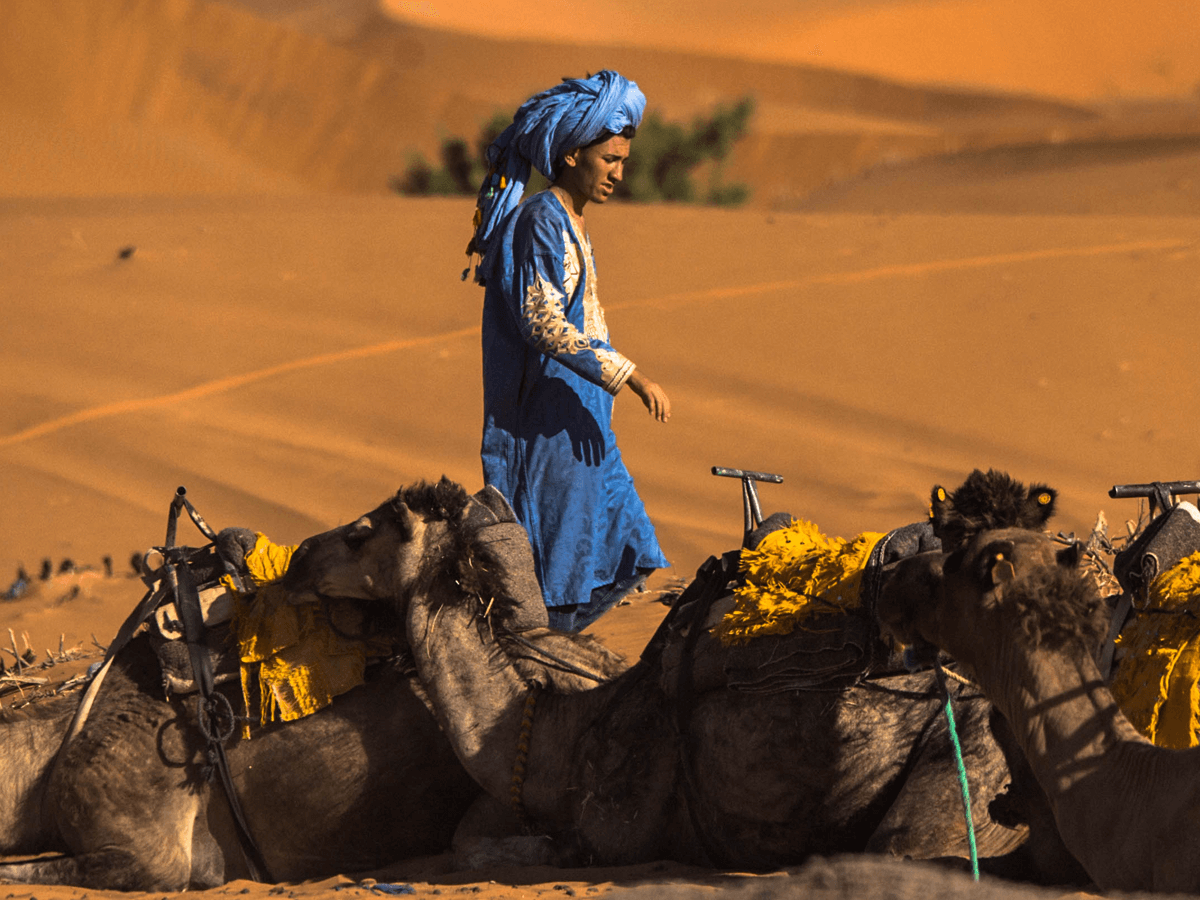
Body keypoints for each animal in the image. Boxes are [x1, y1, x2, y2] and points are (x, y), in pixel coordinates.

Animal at [278, 477, 1086, 879]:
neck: (558, 737)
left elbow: (481, 851)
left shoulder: (615, 832)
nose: (297, 557)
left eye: (362, 531)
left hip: (967, 766)